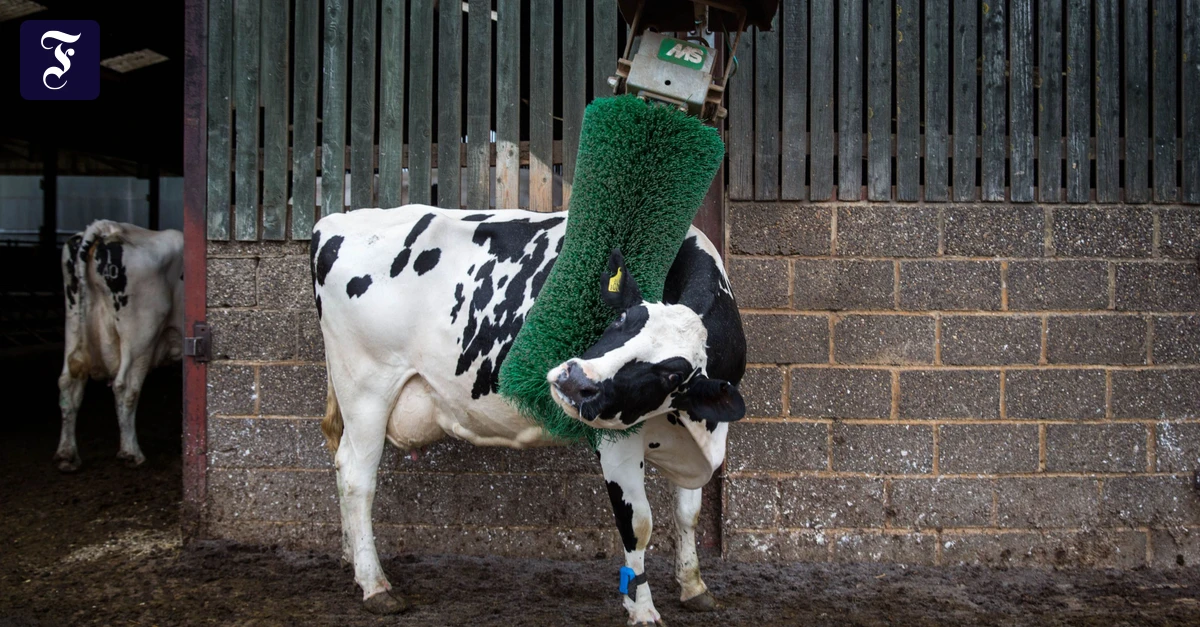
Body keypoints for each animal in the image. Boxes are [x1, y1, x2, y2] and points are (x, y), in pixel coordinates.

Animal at [55, 220, 184, 472]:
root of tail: (110, 228)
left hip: (73, 322)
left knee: (69, 382)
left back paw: (67, 455)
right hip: (141, 335)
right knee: (126, 388)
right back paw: (131, 453)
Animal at [312, 204, 746, 625]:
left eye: (672, 374)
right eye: (622, 319)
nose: (576, 379)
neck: (691, 430)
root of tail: (335, 220)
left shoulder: (699, 434)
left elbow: (687, 513)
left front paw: (694, 586)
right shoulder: (614, 440)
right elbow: (637, 524)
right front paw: (641, 609)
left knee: (341, 466)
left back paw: (352, 559)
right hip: (365, 389)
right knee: (356, 478)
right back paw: (374, 585)